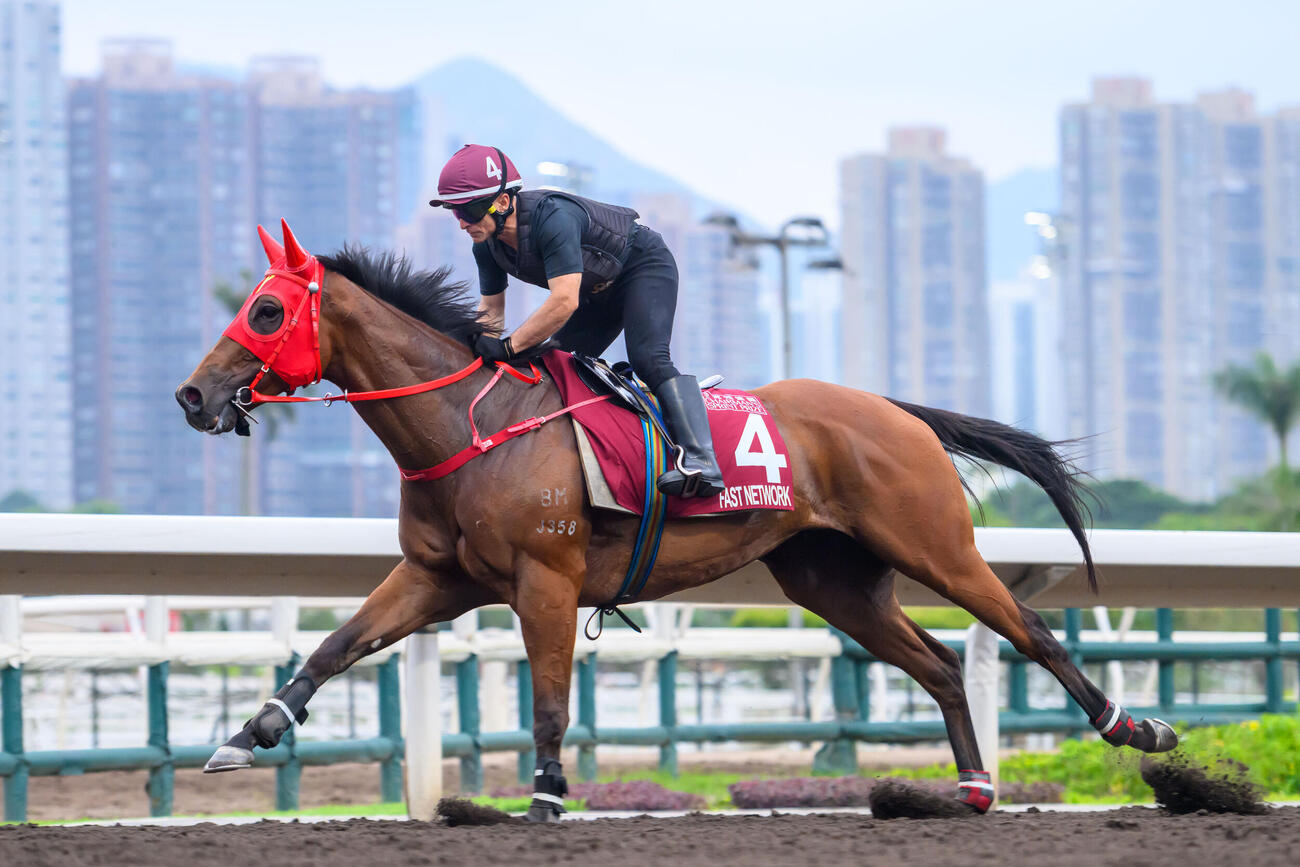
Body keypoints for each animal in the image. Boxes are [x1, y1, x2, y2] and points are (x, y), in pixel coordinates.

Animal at [176, 221, 1177, 821]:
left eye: (266, 308)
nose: (194, 395)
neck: (474, 424)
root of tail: (897, 411)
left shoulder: (546, 579)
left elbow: (548, 700)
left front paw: (548, 796)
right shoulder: (437, 578)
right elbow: (335, 645)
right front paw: (247, 733)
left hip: (934, 544)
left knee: (1028, 626)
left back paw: (1136, 728)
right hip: (834, 580)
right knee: (937, 662)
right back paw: (971, 786)